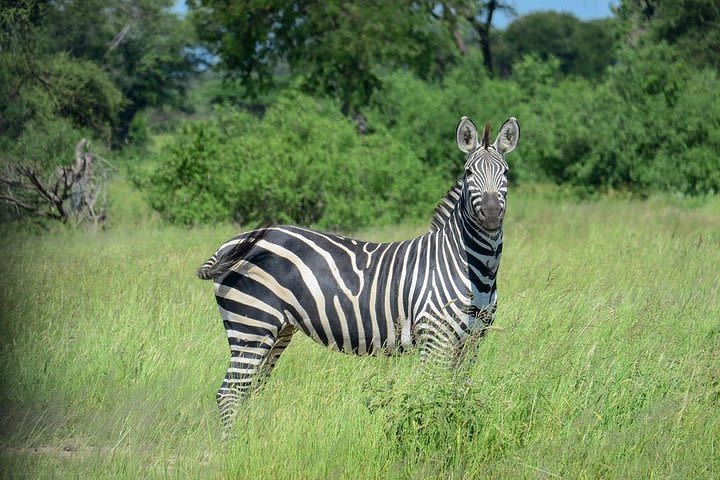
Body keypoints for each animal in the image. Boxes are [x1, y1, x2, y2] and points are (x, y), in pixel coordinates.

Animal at [198, 115, 516, 432]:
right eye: (469, 172)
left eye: (506, 173)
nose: (490, 215)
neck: (473, 267)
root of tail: (233, 242)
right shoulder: (434, 336)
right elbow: (430, 393)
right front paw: (428, 436)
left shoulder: (472, 341)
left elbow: (457, 392)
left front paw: (455, 434)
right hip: (251, 323)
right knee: (229, 393)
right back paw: (233, 443)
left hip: (277, 330)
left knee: (249, 390)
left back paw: (250, 438)